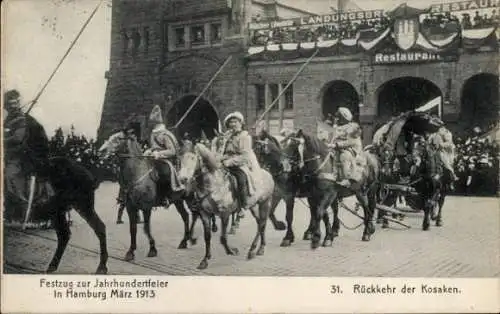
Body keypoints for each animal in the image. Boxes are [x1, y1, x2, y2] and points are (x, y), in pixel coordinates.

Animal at [98, 129, 196, 260]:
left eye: (118, 139)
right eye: (109, 137)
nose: (101, 151)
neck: (137, 173)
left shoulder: (146, 207)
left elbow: (146, 228)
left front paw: (152, 249)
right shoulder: (130, 208)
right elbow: (133, 228)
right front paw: (130, 251)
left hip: (190, 198)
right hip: (178, 200)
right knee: (185, 216)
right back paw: (184, 241)